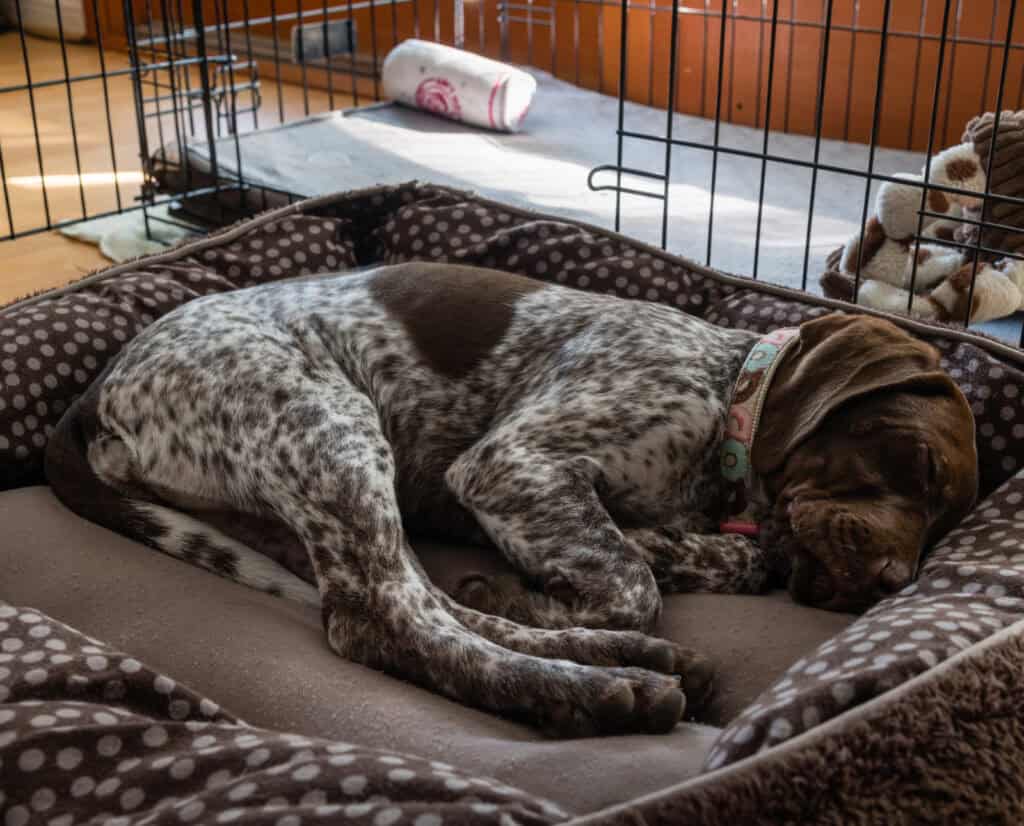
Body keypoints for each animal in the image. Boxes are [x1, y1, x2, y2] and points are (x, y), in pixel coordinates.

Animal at [44, 264, 978, 736]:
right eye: (916, 462)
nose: (891, 583)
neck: (728, 395)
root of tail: (97, 393)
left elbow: (700, 557)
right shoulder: (510, 464)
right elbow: (633, 582)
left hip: (301, 493)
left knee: (419, 599)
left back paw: (607, 653)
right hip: (328, 425)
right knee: (384, 621)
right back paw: (592, 690)